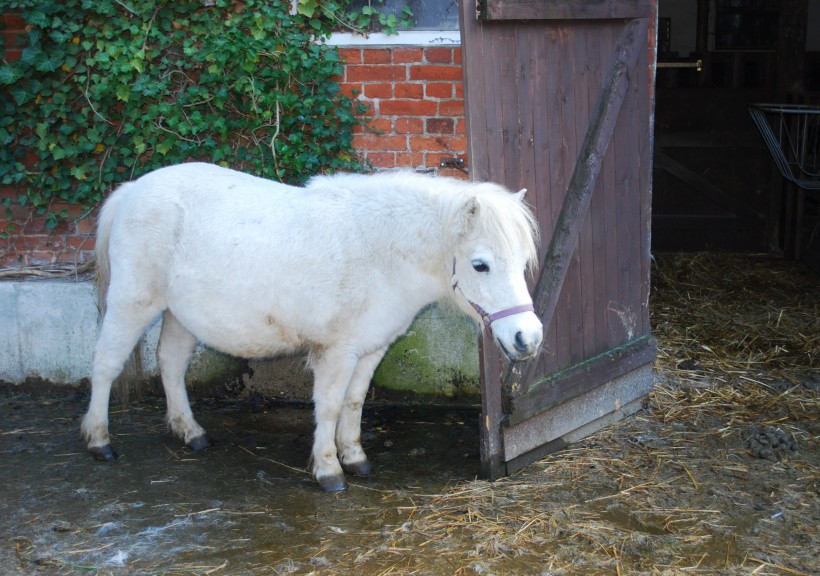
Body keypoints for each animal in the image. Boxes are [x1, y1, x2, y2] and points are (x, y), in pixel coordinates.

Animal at [81, 162, 544, 490]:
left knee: (172, 364)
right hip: (133, 303)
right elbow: (330, 405)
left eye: (523, 261)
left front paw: (354, 457)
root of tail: (131, 191)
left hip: (180, 314)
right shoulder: (337, 352)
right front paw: (328, 470)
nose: (529, 338)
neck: (380, 250)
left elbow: (354, 403)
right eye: (480, 265)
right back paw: (100, 441)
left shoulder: (371, 348)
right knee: (105, 364)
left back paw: (190, 432)